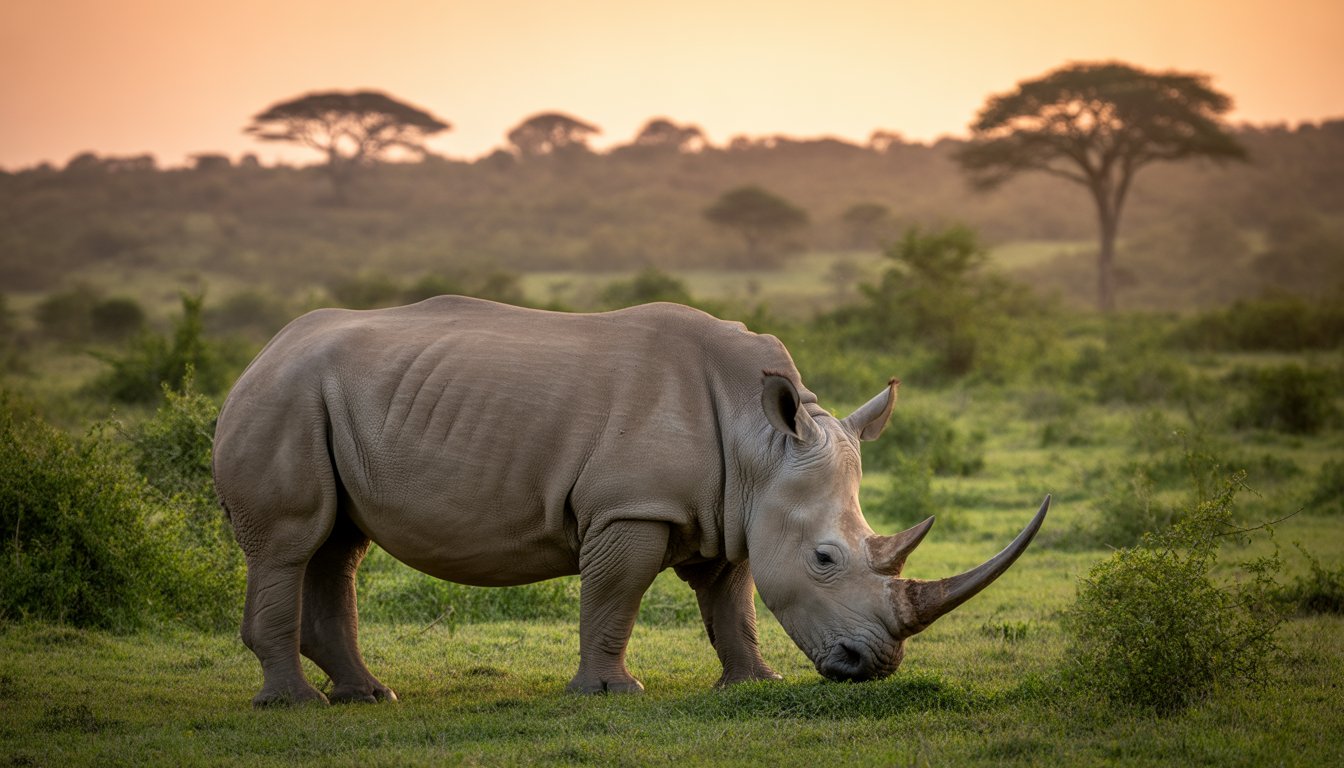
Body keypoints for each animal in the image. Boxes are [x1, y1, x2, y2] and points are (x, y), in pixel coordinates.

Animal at [213, 296, 1047, 706]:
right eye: (824, 558)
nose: (871, 667)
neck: (759, 440)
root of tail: (259, 356)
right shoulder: (631, 508)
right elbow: (614, 599)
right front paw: (613, 691)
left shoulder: (731, 509)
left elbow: (732, 602)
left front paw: (755, 684)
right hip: (284, 399)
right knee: (291, 544)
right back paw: (295, 705)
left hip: (323, 401)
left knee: (339, 545)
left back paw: (368, 696)